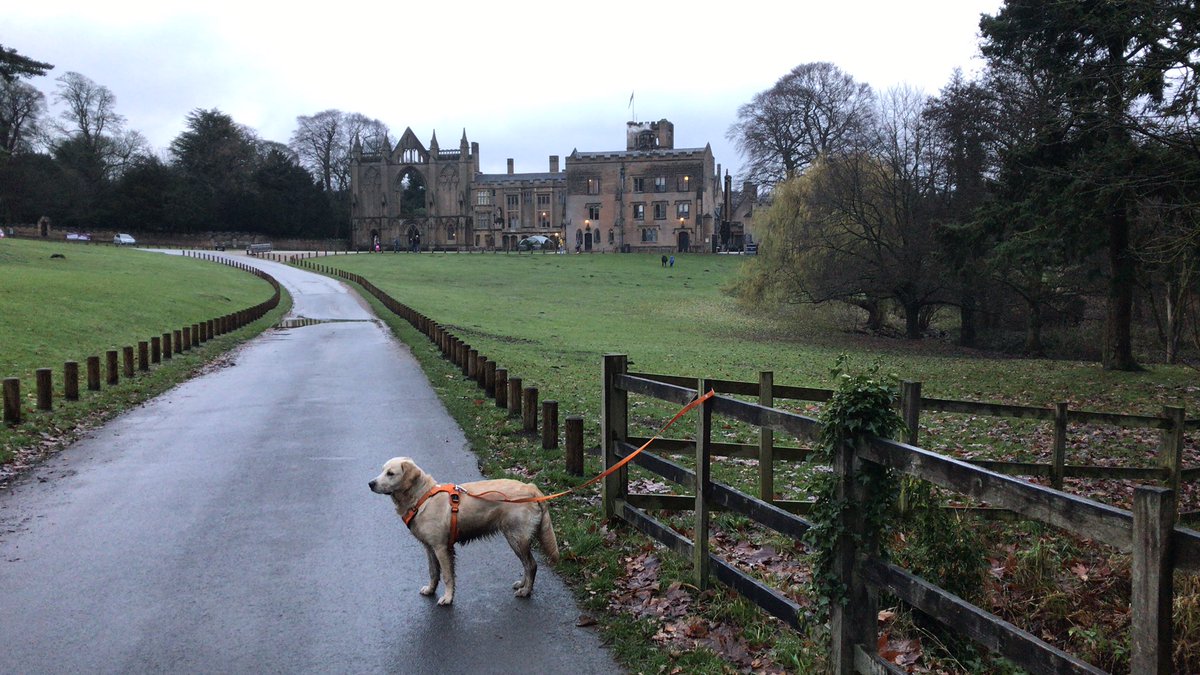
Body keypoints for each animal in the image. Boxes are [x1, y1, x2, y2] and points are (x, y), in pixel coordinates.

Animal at [367, 456, 559, 605]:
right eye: (382, 471)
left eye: (390, 473)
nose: (370, 483)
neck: (422, 498)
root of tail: (531, 487)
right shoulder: (429, 547)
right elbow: (433, 572)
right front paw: (430, 590)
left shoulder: (441, 547)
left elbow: (447, 575)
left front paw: (447, 598)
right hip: (516, 538)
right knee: (527, 565)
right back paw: (522, 584)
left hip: (516, 538)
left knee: (531, 565)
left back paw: (526, 591)